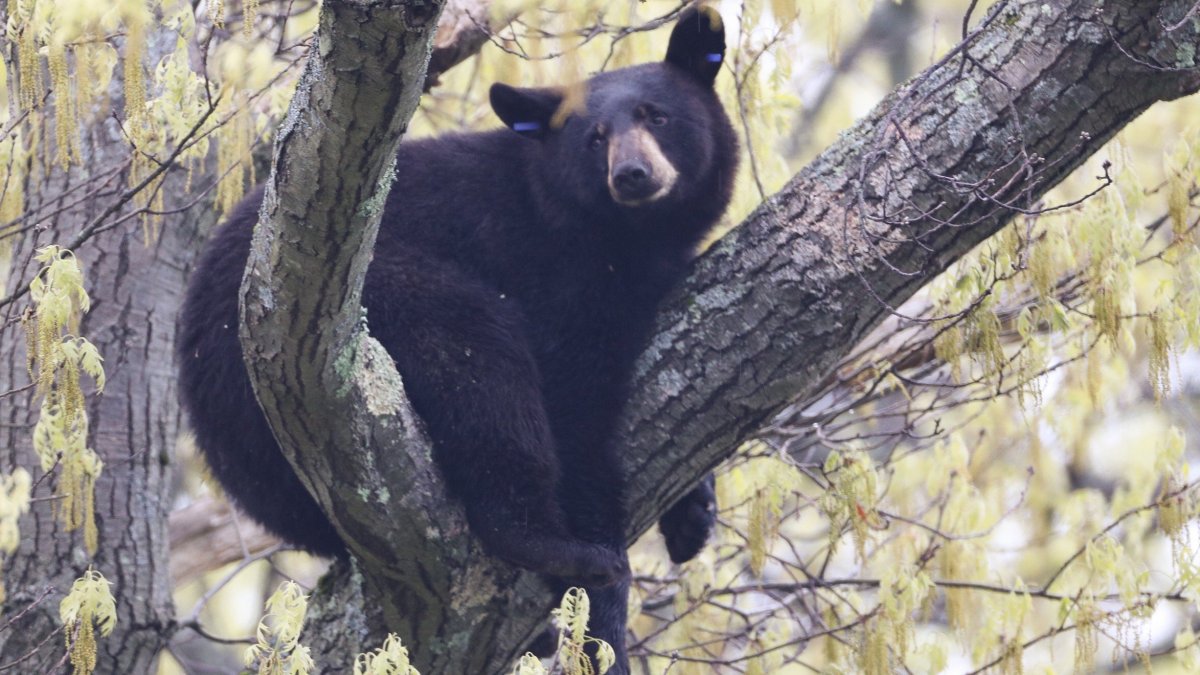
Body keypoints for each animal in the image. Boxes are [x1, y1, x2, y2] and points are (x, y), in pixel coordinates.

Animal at [177, 5, 734, 667]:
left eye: (658, 116)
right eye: (594, 138)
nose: (632, 174)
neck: (624, 239)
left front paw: (694, 510)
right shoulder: (557, 278)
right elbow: (577, 413)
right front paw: (606, 610)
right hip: (385, 293)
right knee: (480, 364)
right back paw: (549, 544)